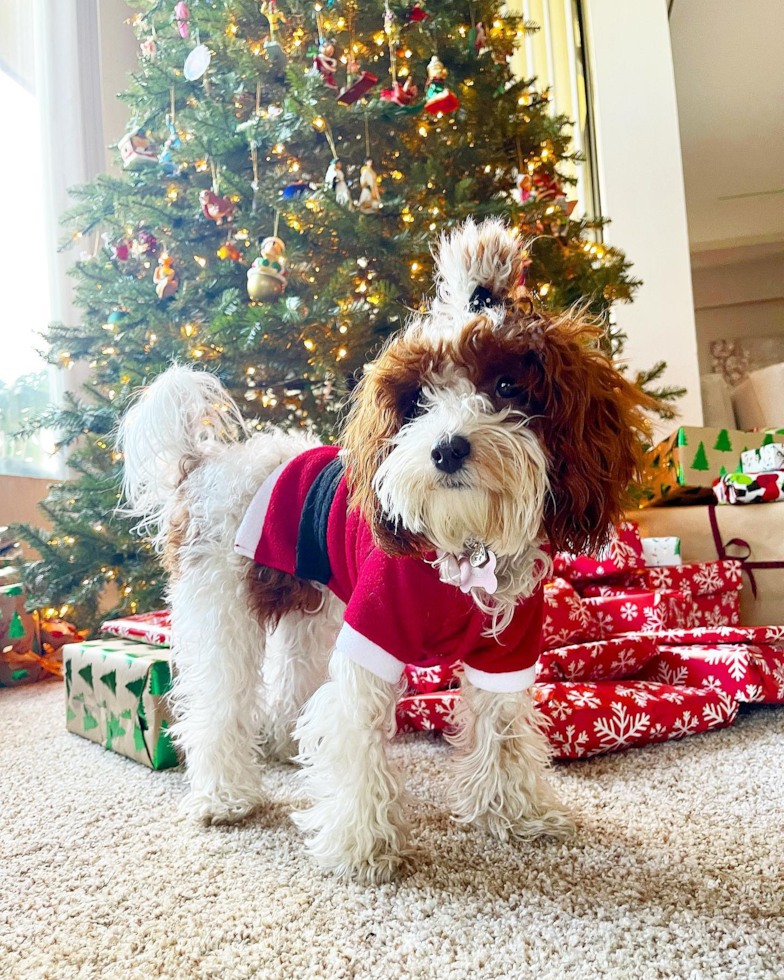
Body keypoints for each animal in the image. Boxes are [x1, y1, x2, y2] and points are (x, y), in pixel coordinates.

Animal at [119, 218, 652, 884]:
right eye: (418, 399)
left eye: (507, 384)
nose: (447, 449)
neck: (462, 553)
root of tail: (204, 461)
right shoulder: (371, 634)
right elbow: (354, 733)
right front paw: (361, 846)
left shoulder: (506, 652)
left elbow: (503, 730)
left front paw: (516, 816)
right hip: (222, 607)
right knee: (216, 701)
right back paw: (225, 797)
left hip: (313, 609)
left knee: (289, 677)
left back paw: (285, 747)